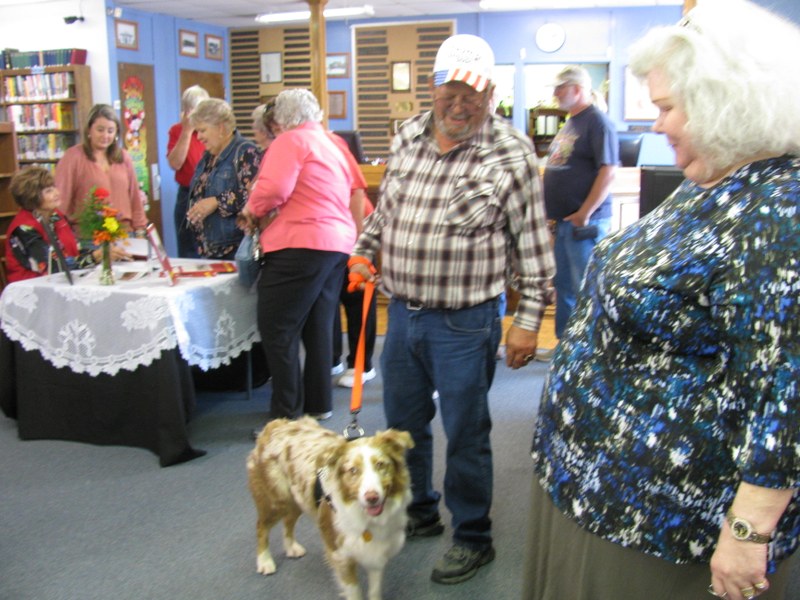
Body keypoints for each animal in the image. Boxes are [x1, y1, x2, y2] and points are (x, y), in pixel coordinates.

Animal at [248, 418, 412, 600]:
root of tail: (275, 425)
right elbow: (354, 591)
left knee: (288, 521)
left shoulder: (376, 551)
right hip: (276, 501)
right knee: (261, 527)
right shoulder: (340, 554)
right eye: (353, 470)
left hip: (299, 498)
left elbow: (375, 590)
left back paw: (291, 547)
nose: (372, 498)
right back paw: (265, 562)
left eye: (380, 465)